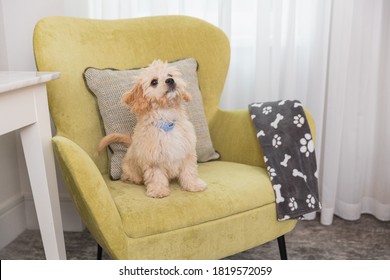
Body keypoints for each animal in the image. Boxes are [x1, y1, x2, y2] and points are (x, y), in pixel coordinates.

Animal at [97, 60, 207, 198]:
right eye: (154, 82)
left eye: (170, 74)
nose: (170, 80)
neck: (166, 121)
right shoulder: (153, 159)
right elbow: (156, 176)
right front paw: (158, 190)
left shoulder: (186, 152)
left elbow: (189, 171)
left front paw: (193, 185)